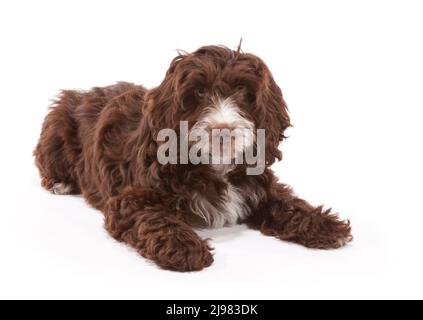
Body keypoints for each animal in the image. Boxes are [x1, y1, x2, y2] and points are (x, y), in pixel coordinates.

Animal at [34, 44, 352, 270]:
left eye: (242, 91)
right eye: (198, 92)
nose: (223, 130)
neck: (215, 166)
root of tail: (83, 92)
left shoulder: (260, 186)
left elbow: (287, 203)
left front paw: (324, 224)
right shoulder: (129, 200)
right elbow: (155, 217)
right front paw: (184, 247)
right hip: (56, 126)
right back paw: (60, 182)